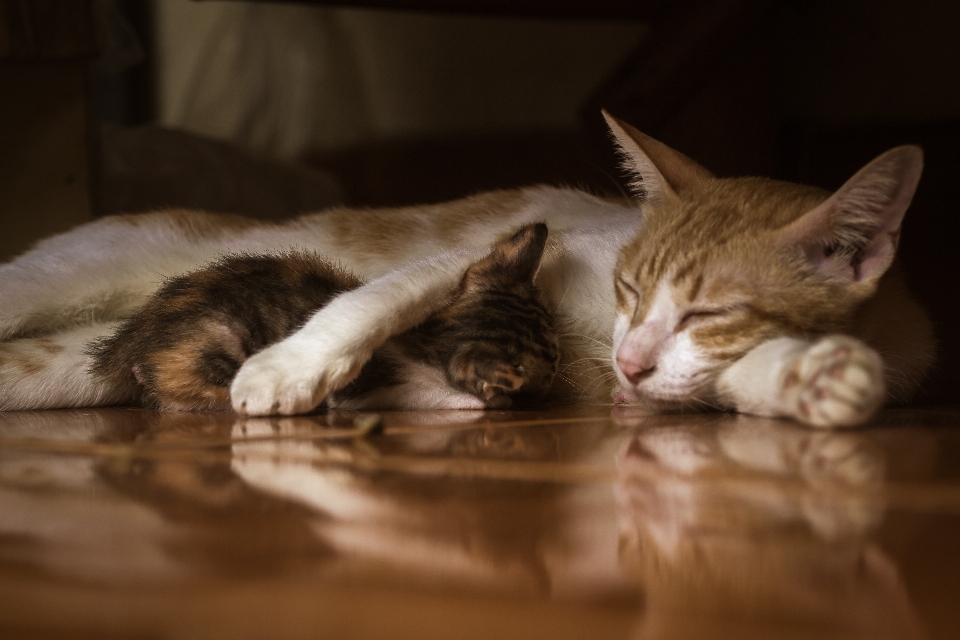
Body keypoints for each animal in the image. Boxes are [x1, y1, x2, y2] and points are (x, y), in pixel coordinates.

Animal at [92, 221, 556, 410]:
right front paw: (486, 400)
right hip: (217, 344)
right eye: (547, 369)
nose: (555, 379)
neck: (429, 341)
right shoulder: (365, 389)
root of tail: (129, 341)